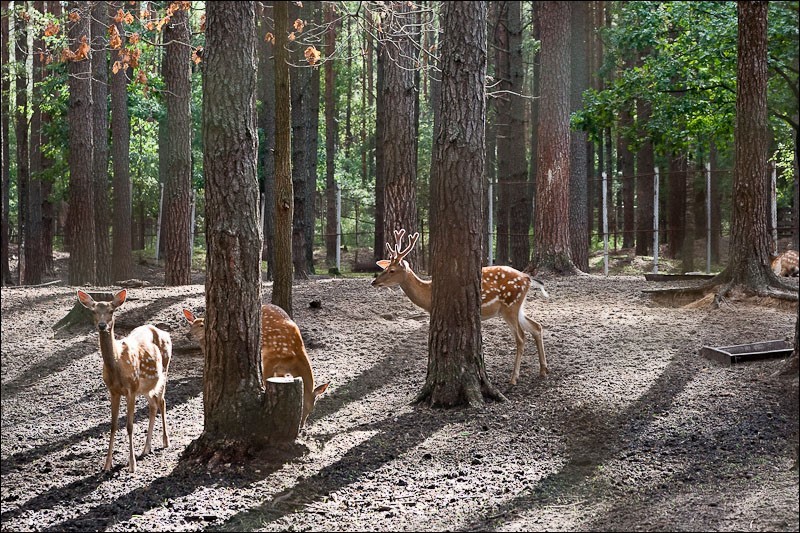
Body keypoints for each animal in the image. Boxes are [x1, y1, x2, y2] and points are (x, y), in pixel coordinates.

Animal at [76, 288, 172, 472]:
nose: (102, 325)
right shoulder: (113, 391)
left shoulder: (131, 389)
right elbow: (113, 425)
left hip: (164, 371)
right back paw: (146, 448)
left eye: (111, 311)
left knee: (162, 401)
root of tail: (166, 333)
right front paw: (107, 464)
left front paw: (132, 464)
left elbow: (129, 425)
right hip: (146, 386)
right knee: (153, 405)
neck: (117, 367)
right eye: (93, 311)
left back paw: (165, 441)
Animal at [184, 304, 328, 424]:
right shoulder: (270, 359)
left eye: (311, 409)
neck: (293, 359)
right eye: (301, 405)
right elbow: (264, 379)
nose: (301, 425)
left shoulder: (280, 370)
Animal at [374, 228, 552, 382]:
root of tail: (527, 278)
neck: (428, 295)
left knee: (521, 337)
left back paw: (514, 378)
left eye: (392, 270)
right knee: (537, 326)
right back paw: (543, 370)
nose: (374, 282)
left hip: (510, 305)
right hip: (516, 307)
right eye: (385, 267)